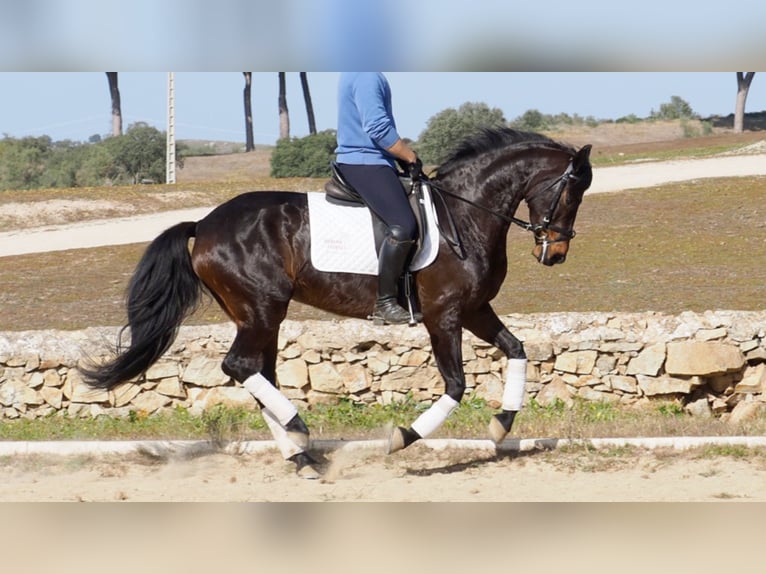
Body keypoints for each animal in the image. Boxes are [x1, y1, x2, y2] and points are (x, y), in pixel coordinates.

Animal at [84, 129, 596, 476]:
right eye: (571, 191)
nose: (556, 253)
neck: (466, 212)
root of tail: (204, 224)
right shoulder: (443, 316)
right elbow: (455, 386)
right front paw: (401, 437)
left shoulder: (473, 310)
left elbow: (517, 350)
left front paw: (502, 424)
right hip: (261, 309)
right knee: (239, 366)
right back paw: (298, 430)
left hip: (260, 316)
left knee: (257, 373)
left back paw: (300, 455)